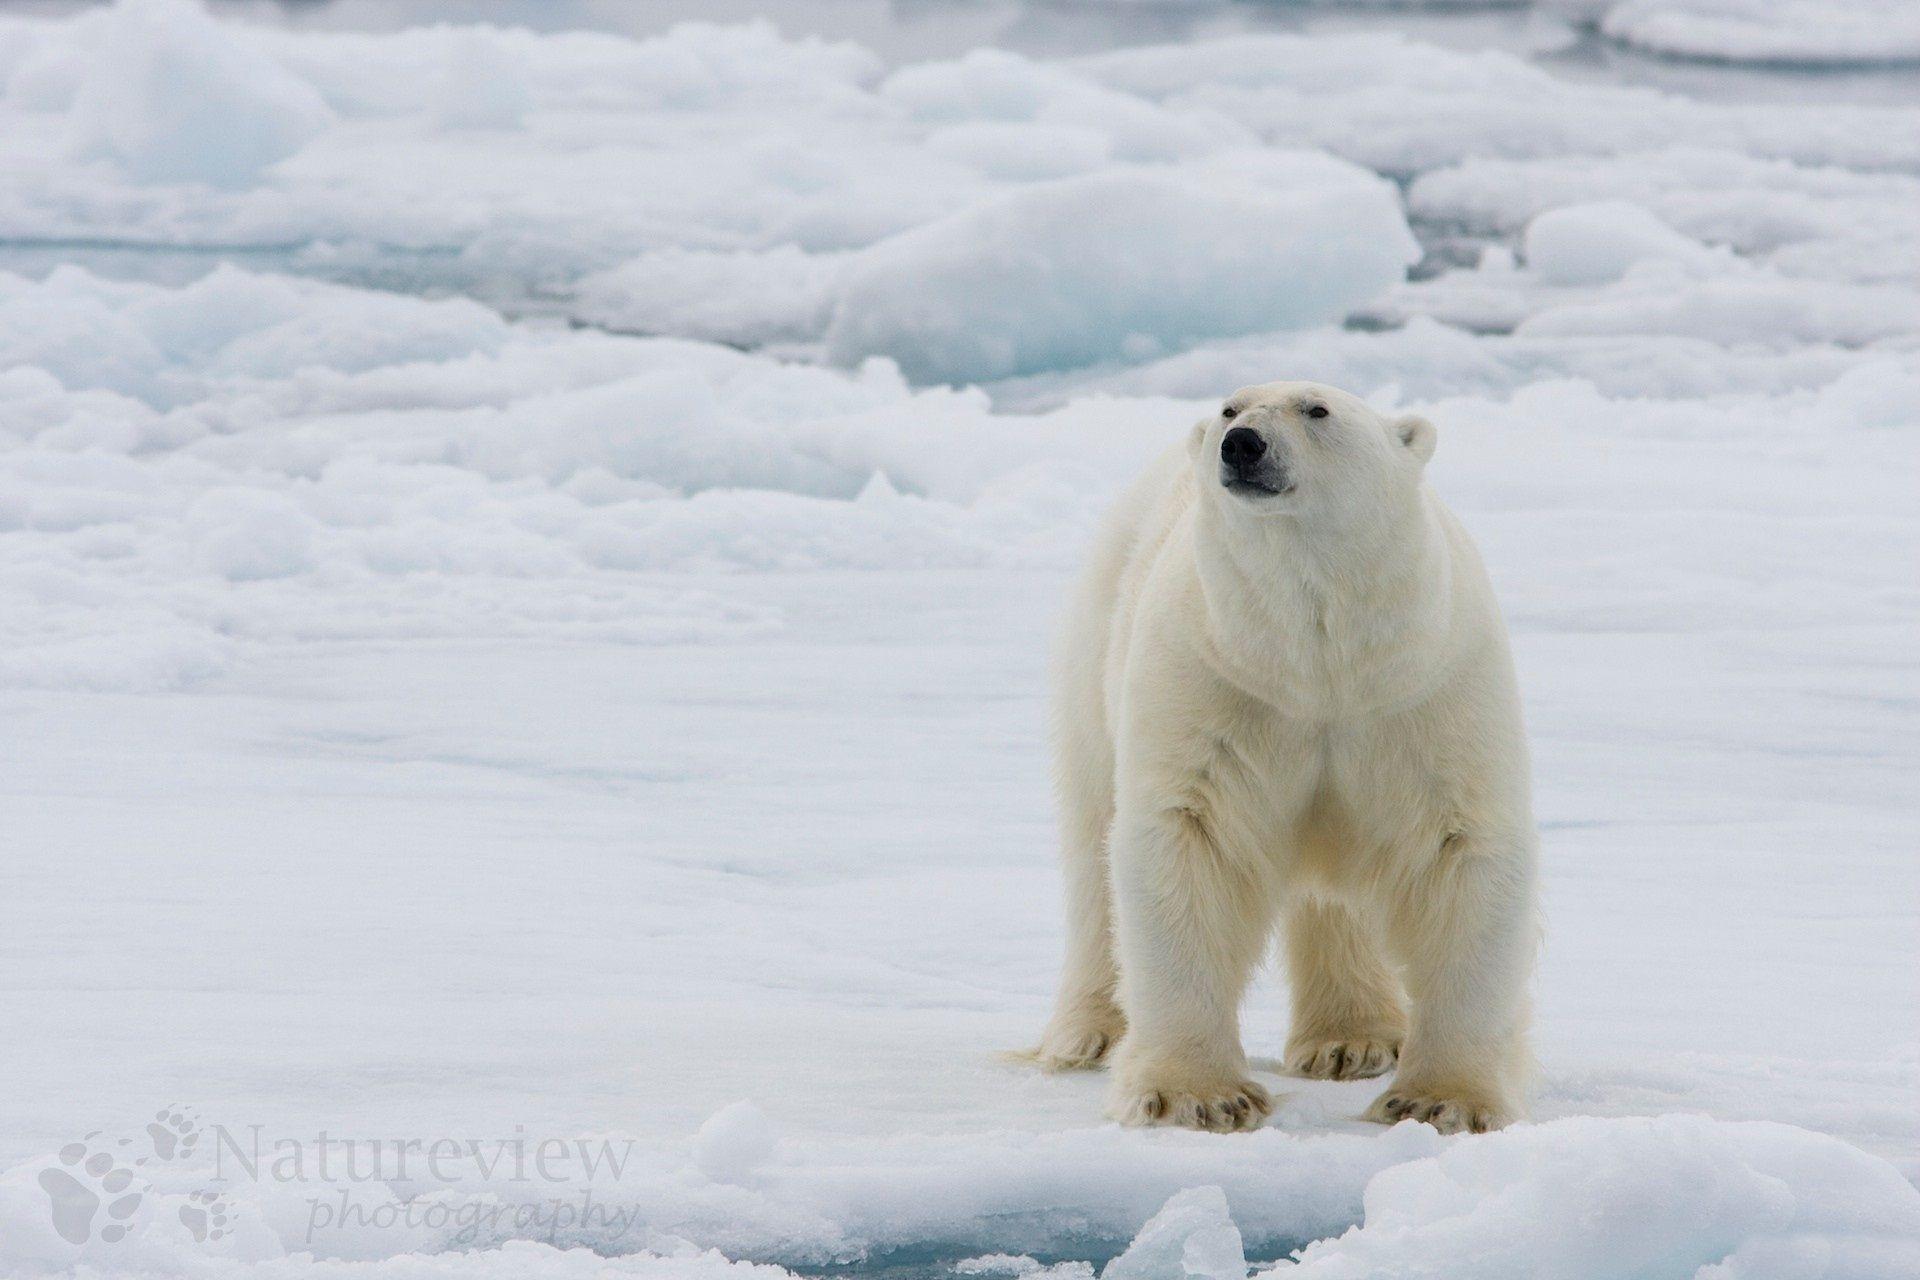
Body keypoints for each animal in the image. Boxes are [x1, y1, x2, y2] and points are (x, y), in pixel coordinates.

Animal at [1027, 380, 1537, 1135]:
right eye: (1230, 408)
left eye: (1317, 409)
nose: (1241, 444)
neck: (1317, 657)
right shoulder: (1215, 685)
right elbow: (1188, 843)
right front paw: (1196, 1096)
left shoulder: (1425, 690)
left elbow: (1463, 850)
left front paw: (1443, 1100)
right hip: (1097, 647)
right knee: (1093, 848)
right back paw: (1083, 1035)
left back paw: (1353, 1040)